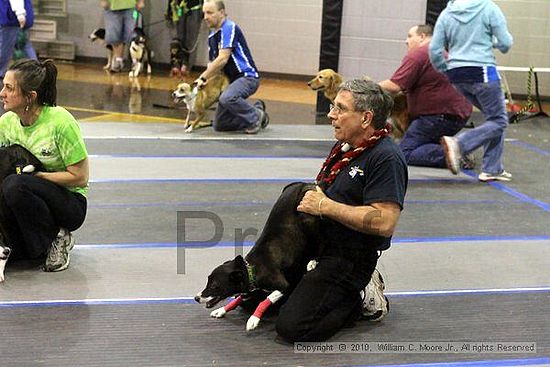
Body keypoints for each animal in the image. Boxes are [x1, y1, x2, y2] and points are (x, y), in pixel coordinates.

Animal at [196, 183, 326, 332]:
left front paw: (253, 319)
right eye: (207, 281)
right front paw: (222, 310)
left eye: (215, 286)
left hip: (308, 217)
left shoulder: (284, 285)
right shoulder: (250, 288)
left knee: (321, 241)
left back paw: (313, 261)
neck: (252, 268)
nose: (196, 298)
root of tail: (306, 184)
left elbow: (265, 300)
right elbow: (240, 298)